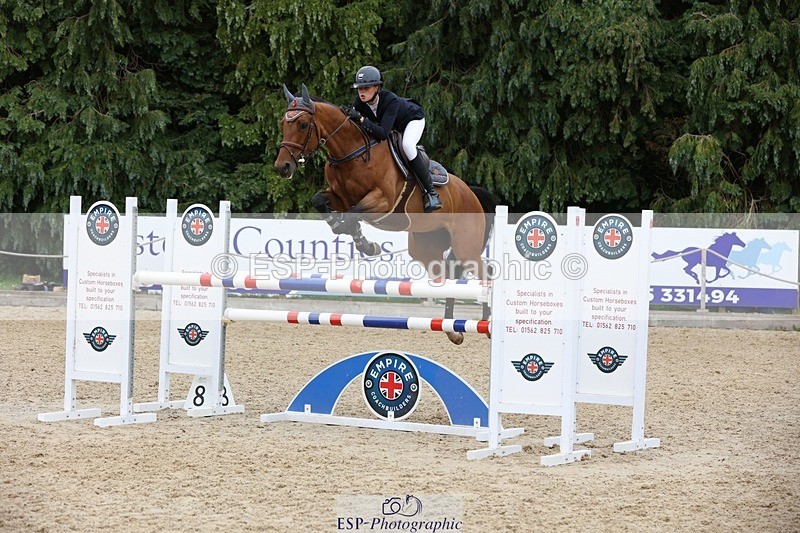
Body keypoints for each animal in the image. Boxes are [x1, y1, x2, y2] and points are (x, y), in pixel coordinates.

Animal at [274, 84, 496, 345]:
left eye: (302, 124)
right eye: (283, 123)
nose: (282, 167)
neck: (352, 152)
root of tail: (471, 193)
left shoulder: (383, 201)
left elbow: (353, 215)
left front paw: (366, 245)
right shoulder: (338, 197)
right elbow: (321, 202)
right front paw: (348, 233)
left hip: (465, 246)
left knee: (486, 273)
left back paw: (488, 326)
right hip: (426, 247)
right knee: (448, 277)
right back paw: (453, 330)